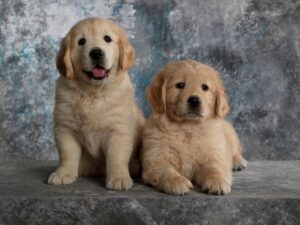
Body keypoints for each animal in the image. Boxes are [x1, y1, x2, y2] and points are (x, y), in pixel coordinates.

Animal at [47, 17, 144, 190]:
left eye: (107, 39)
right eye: (81, 41)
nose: (96, 52)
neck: (93, 93)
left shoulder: (118, 130)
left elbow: (116, 155)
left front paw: (118, 178)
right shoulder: (64, 128)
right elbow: (67, 154)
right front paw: (63, 174)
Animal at [142, 59, 247, 195]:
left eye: (205, 87)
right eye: (180, 85)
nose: (194, 100)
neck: (188, 127)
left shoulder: (213, 156)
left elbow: (214, 169)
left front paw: (217, 181)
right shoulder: (156, 159)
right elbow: (166, 171)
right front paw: (177, 182)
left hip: (230, 133)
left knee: (235, 150)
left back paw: (238, 161)